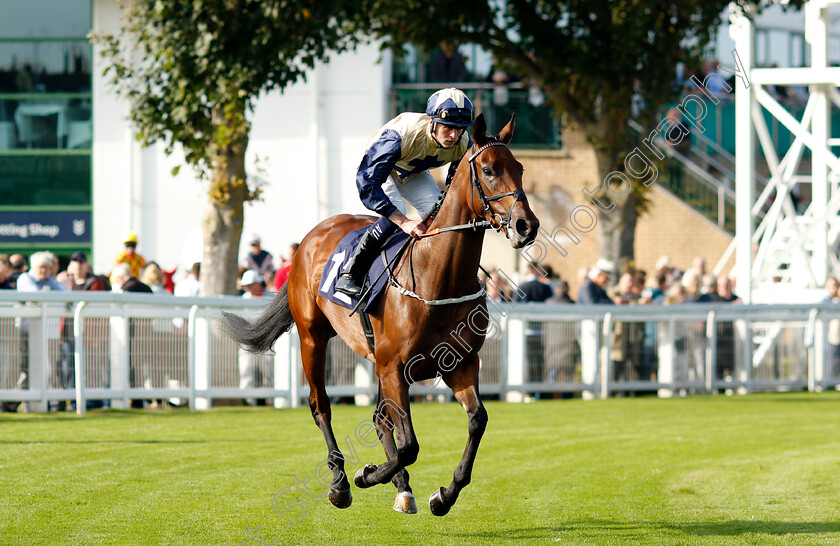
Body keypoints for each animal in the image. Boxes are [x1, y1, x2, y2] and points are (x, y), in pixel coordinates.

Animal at [223, 113, 540, 516]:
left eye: (520, 168)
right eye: (488, 169)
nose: (527, 225)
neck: (439, 279)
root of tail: (309, 238)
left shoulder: (460, 364)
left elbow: (476, 421)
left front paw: (444, 494)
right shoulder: (394, 368)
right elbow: (410, 445)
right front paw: (365, 475)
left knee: (378, 418)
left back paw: (401, 487)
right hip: (313, 338)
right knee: (321, 407)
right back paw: (341, 482)